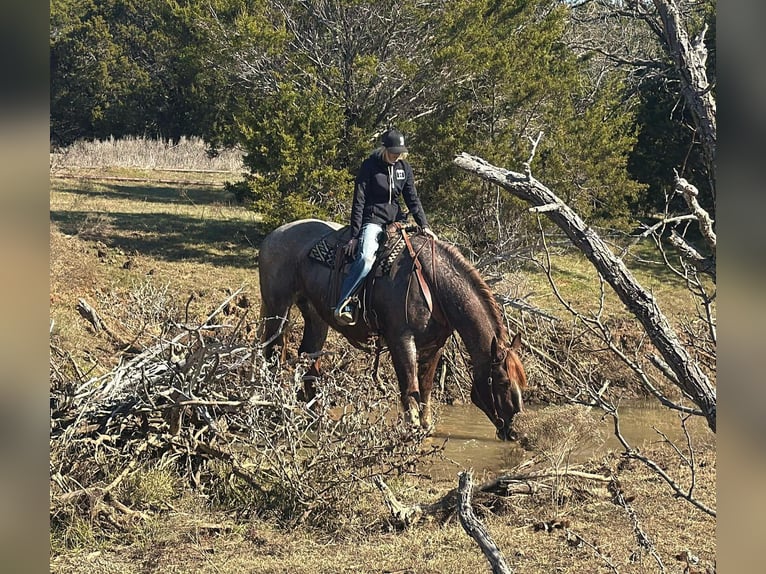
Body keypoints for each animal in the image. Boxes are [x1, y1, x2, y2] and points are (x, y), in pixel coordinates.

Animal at [257, 218, 527, 440]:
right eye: (503, 381)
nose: (518, 433)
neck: (432, 284)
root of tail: (273, 236)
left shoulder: (435, 346)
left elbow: (425, 387)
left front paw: (426, 426)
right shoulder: (401, 340)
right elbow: (409, 388)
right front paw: (412, 429)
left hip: (315, 317)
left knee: (308, 359)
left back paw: (316, 416)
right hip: (278, 309)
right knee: (270, 354)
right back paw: (271, 409)